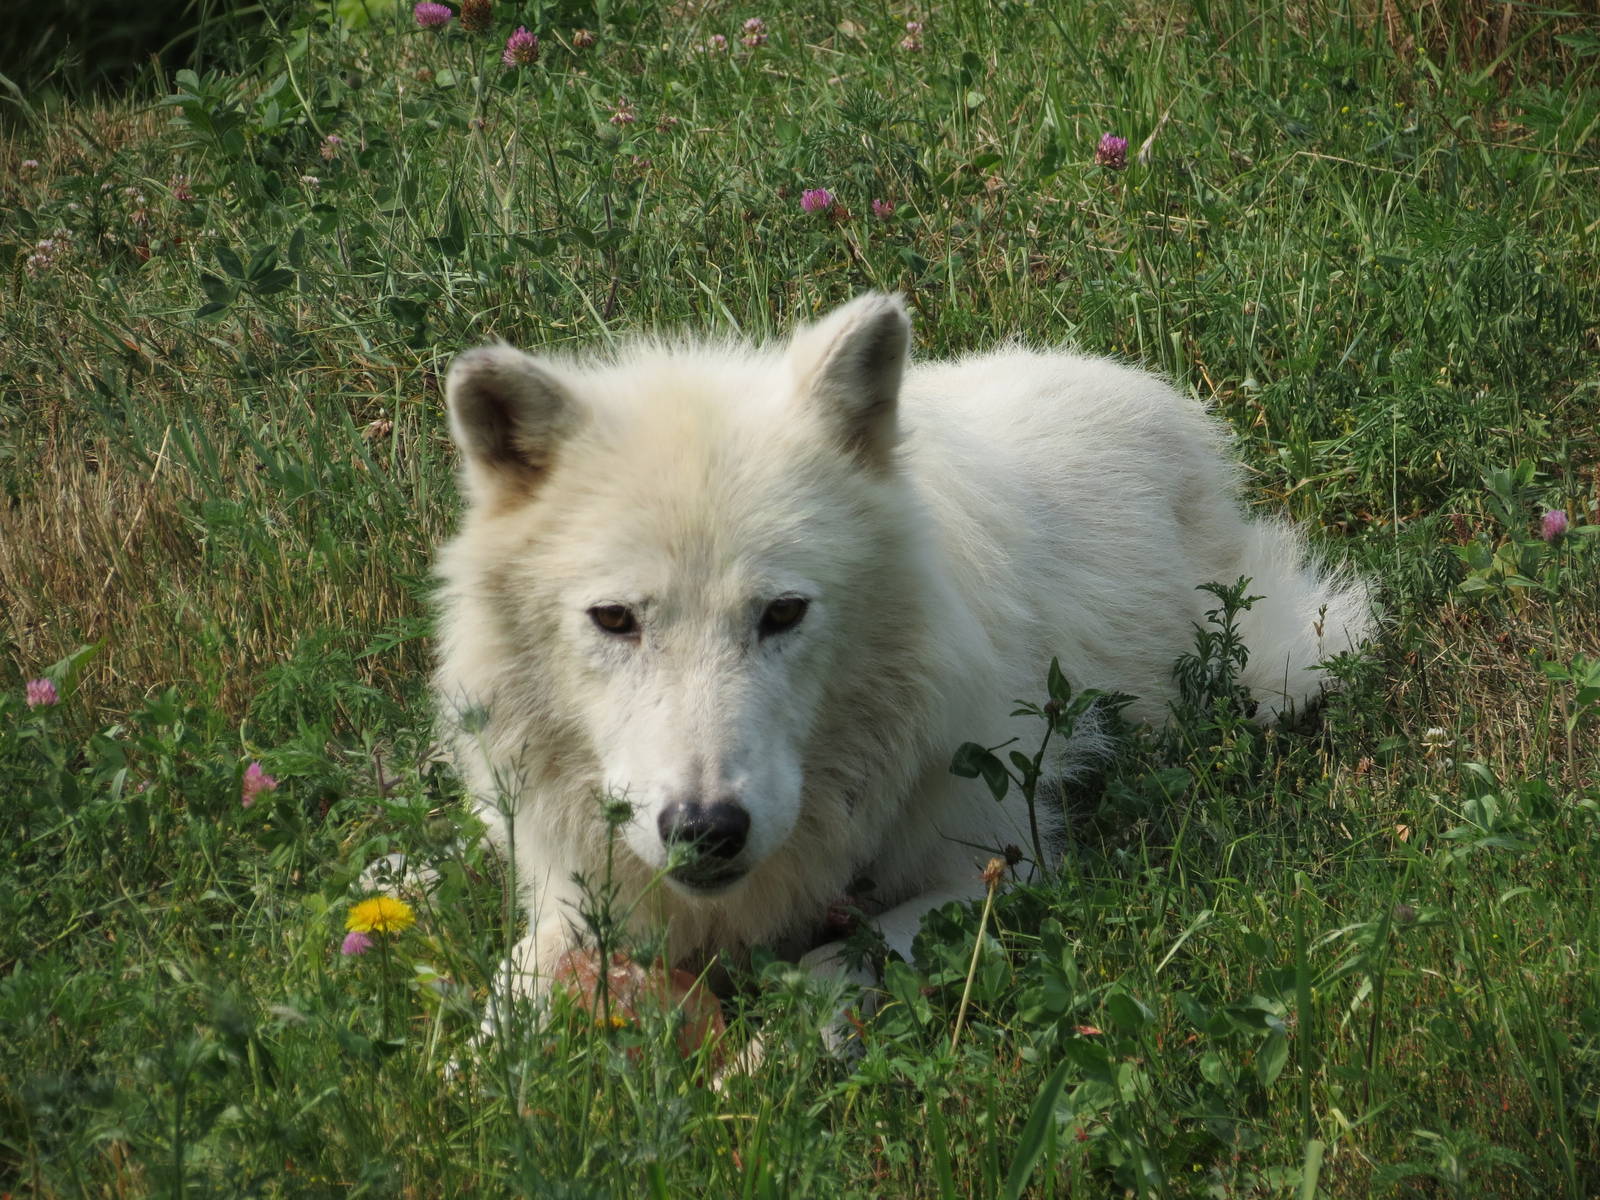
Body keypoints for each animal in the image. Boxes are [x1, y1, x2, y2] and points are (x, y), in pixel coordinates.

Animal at [434, 293, 1369, 1015]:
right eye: (615, 619)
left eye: (783, 612)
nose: (706, 830)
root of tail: (1160, 396)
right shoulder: (574, 882)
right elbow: (515, 979)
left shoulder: (1000, 868)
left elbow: (831, 964)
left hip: (1265, 663)